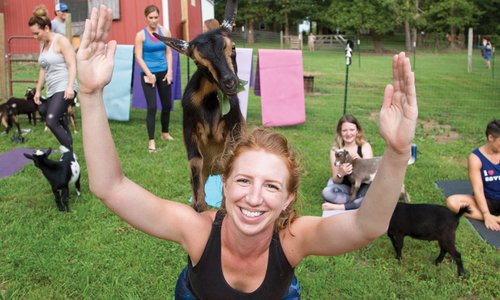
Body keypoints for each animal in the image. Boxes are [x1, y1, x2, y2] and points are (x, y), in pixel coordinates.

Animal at [153, 0, 245, 212]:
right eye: (197, 61)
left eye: (233, 47)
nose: (229, 83)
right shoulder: (189, 128)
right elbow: (195, 162)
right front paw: (199, 205)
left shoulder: (234, 128)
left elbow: (228, 162)